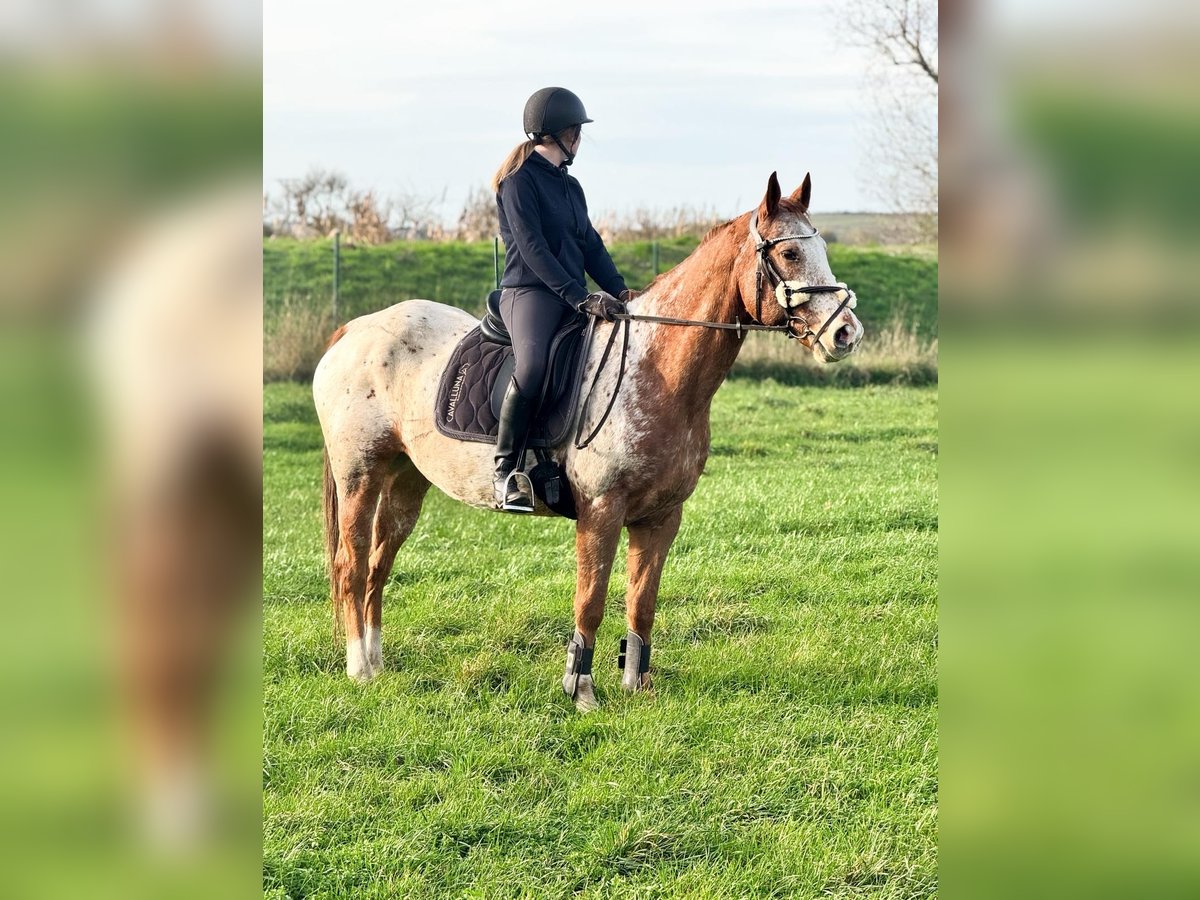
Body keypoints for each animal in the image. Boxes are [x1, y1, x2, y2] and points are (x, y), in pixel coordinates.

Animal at [313, 171, 864, 711]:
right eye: (789, 254)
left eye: (820, 248)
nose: (846, 333)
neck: (656, 368)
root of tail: (353, 331)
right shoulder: (601, 511)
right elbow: (592, 601)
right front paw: (580, 690)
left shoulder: (661, 517)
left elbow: (642, 604)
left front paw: (638, 687)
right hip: (360, 475)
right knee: (351, 564)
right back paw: (360, 669)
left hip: (406, 479)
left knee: (378, 566)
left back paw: (378, 663)